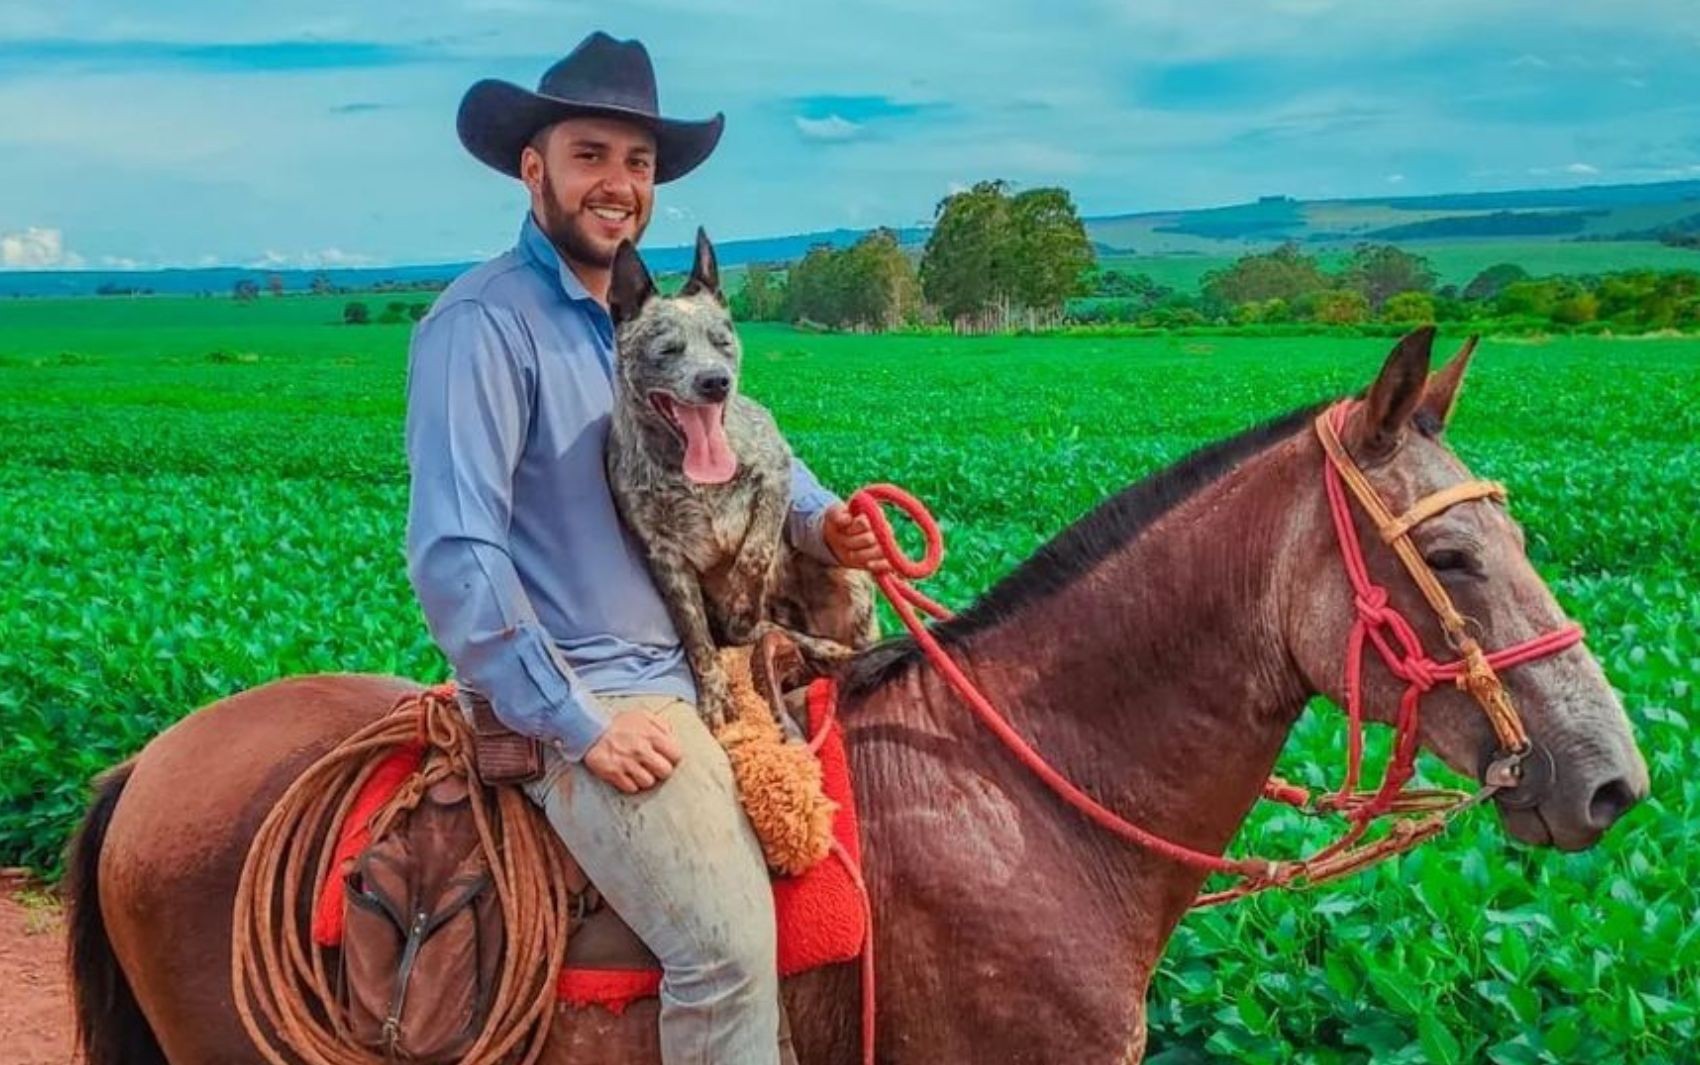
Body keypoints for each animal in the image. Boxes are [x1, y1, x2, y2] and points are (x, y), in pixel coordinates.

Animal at [608, 226, 877, 724]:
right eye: (667, 349)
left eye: (723, 341)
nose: (716, 382)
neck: (690, 468)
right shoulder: (664, 556)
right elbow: (697, 637)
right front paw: (714, 695)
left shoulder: (776, 471)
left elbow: (755, 552)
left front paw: (742, 595)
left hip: (848, 579)